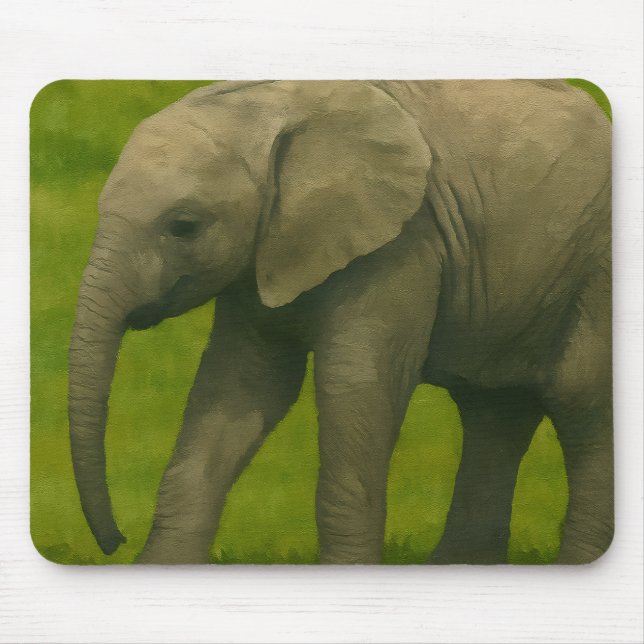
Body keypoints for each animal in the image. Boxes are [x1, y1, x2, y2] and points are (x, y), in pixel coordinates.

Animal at [68, 80, 612, 565]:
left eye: (184, 226)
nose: (114, 542)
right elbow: (238, 384)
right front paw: (159, 568)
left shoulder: (404, 243)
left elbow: (355, 386)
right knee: (494, 408)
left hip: (593, 270)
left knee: (579, 398)